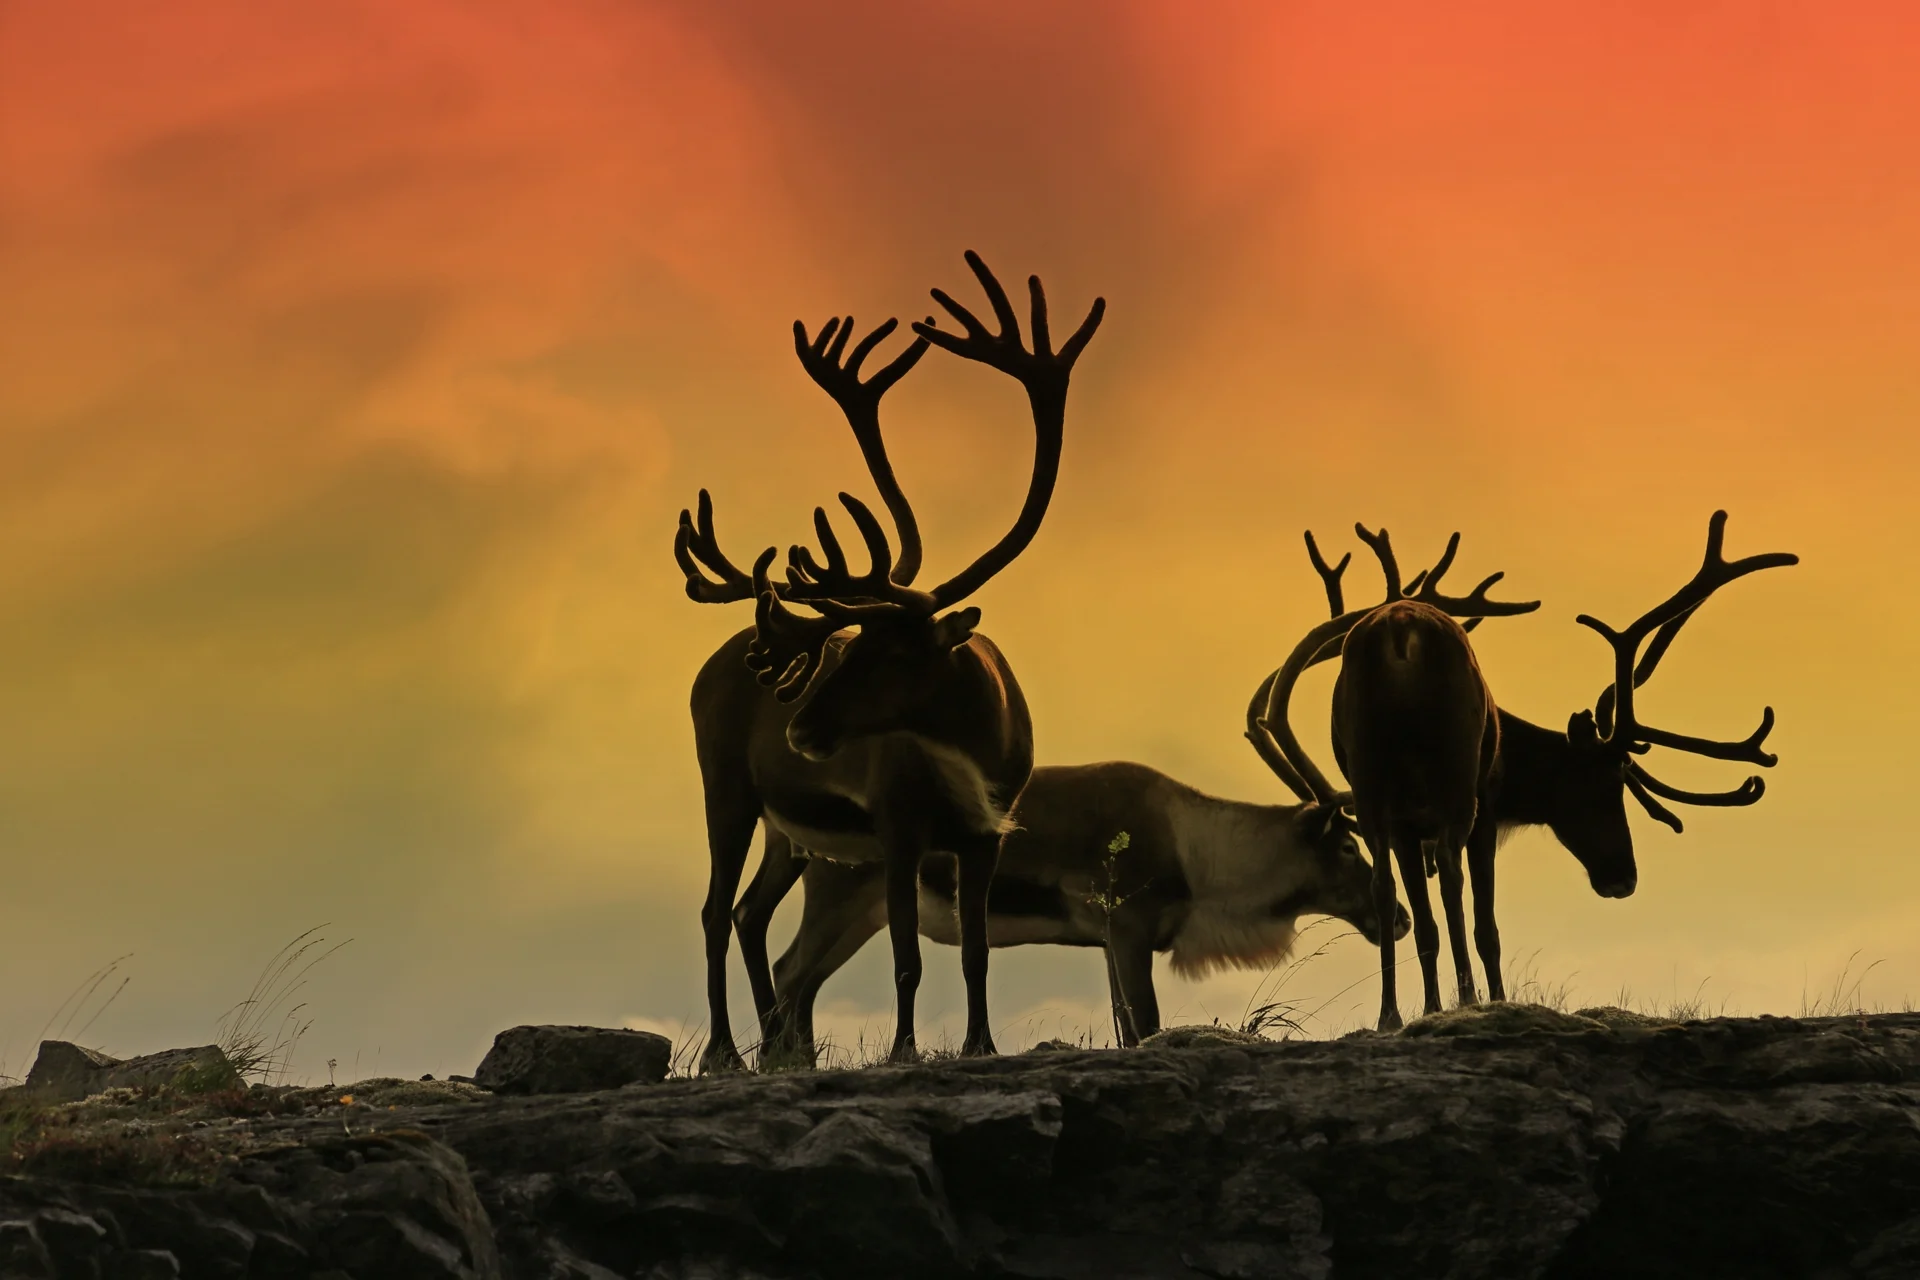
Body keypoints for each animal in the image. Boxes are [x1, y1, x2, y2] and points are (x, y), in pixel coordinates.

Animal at [675, 251, 1104, 1070]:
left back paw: (781, 1047)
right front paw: (906, 1049)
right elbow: (908, 955)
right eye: (850, 646)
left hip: (789, 833)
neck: (974, 748)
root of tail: (707, 667)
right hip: (727, 787)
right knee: (714, 908)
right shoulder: (899, 829)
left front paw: (980, 1045)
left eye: (895, 650)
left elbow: (975, 954)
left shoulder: (986, 835)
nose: (801, 732)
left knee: (749, 912)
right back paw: (726, 1052)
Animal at [731, 759, 1412, 1058]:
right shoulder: (1130, 929)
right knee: (792, 970)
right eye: (1347, 845)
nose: (1400, 918)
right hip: (839, 896)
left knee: (801, 981)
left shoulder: (1110, 942)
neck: (1196, 852)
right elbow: (1144, 1022)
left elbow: (1123, 1023)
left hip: (860, 914)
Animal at [1252, 512, 1797, 1027]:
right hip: (1455, 776)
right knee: (1453, 875)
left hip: (1370, 778)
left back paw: (1390, 1014)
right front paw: (1487, 998)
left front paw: (1425, 1006)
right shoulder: (1485, 811)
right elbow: (1487, 924)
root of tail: (1401, 634)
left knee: (1385, 888)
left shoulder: (1406, 824)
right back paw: (1467, 998)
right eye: (1606, 781)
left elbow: (1421, 921)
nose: (1623, 877)